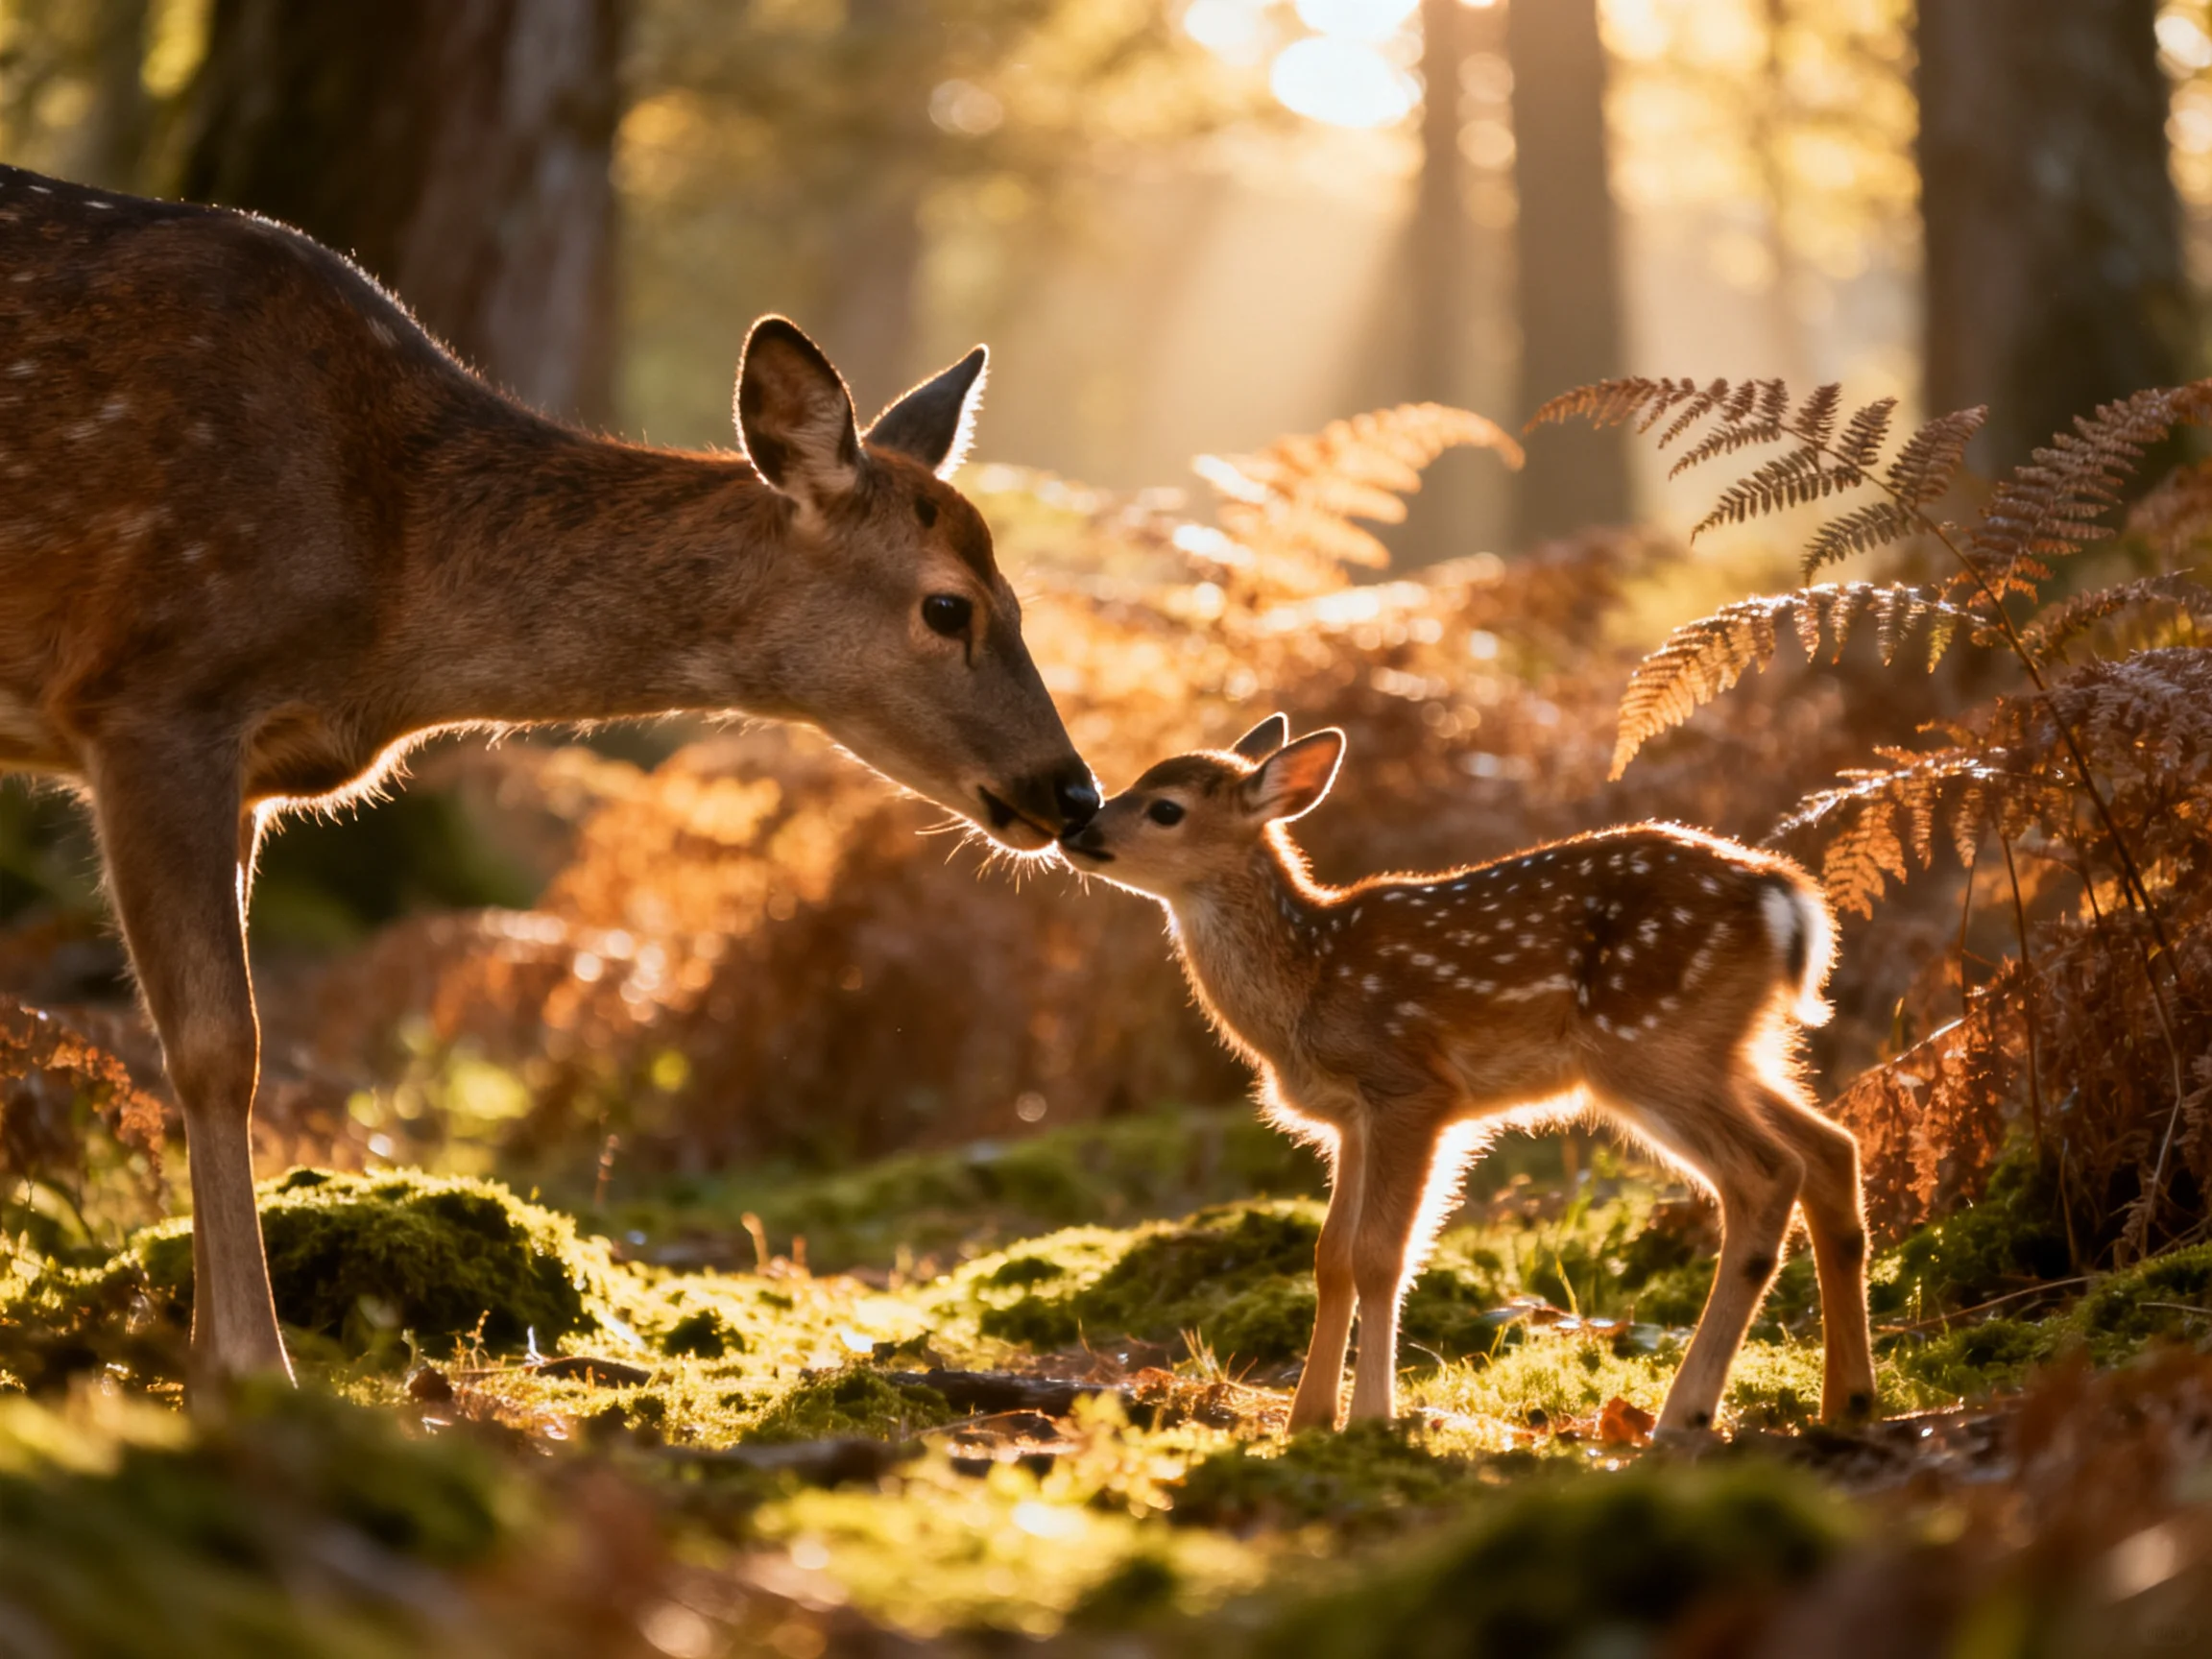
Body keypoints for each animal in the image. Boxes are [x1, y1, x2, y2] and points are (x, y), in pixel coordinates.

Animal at [0, 164, 1099, 1392]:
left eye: (1019, 600)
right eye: (950, 606)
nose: (1074, 792)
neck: (389, 596)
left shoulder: (246, 779)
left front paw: (205, 1353)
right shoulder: (153, 695)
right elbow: (214, 1047)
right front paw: (247, 1370)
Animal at [1060, 716, 1876, 1437]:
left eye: (1166, 808)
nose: (1076, 830)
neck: (1306, 984)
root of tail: (1786, 900)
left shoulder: (1410, 1088)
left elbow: (1380, 1256)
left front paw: (1370, 1419)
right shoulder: (1348, 1118)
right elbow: (1331, 1259)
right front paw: (1306, 1419)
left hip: (1646, 1044)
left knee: (1768, 1174)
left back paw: (1686, 1414)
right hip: (1728, 1047)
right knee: (1831, 1149)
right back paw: (1848, 1403)